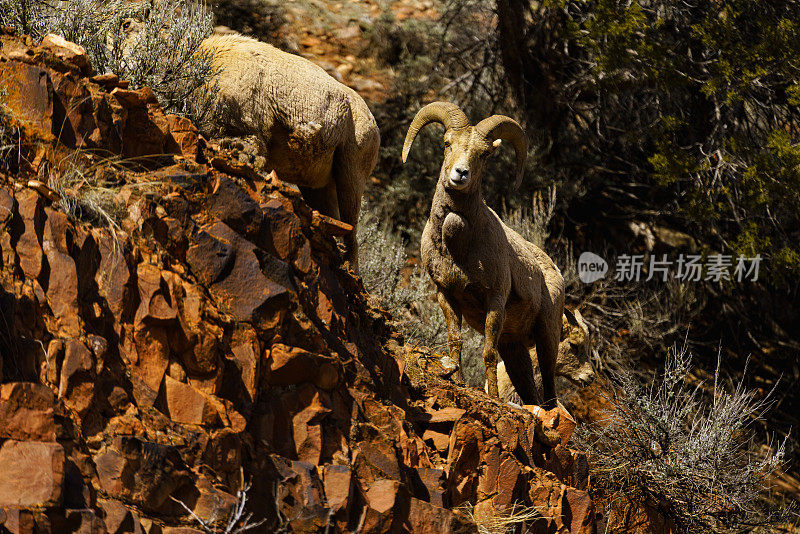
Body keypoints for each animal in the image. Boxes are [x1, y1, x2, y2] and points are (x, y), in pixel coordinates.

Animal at [404, 101, 564, 410]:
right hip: (514, 348)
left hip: (547, 338)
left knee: (550, 392)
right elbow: (455, 341)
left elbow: (488, 353)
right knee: (530, 391)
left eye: (484, 154)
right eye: (447, 144)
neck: (458, 245)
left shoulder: (495, 299)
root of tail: (555, 271)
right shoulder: (446, 295)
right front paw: (455, 378)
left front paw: (492, 397)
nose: (460, 173)